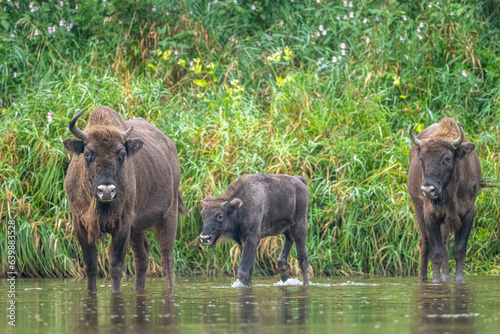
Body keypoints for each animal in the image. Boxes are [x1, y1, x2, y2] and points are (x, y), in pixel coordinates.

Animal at [64, 107, 186, 292]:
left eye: (121, 154)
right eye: (87, 154)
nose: (106, 190)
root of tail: (171, 146)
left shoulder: (123, 224)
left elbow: (115, 266)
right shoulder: (80, 223)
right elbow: (90, 265)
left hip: (169, 216)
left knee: (167, 258)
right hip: (137, 228)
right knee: (142, 256)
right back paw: (138, 288)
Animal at [408, 117, 482, 282]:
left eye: (447, 158)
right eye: (422, 158)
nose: (428, 189)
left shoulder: (468, 213)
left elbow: (459, 249)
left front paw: (459, 280)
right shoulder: (431, 215)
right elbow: (436, 252)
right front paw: (436, 281)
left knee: (445, 243)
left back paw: (446, 277)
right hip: (417, 207)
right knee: (425, 243)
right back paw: (422, 278)